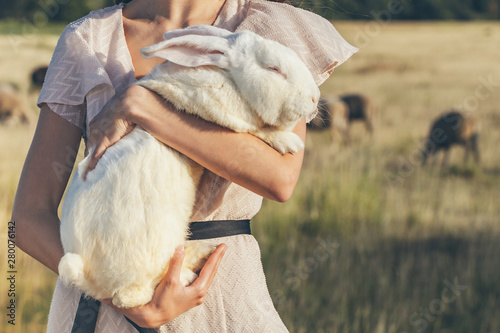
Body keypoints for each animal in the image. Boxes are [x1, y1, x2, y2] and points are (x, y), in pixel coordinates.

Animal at [56, 24, 318, 308]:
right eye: (274, 69)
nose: (315, 99)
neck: (229, 78)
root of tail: (85, 274)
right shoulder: (222, 114)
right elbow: (254, 130)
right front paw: (289, 142)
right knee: (132, 295)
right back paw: (188, 273)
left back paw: (204, 252)